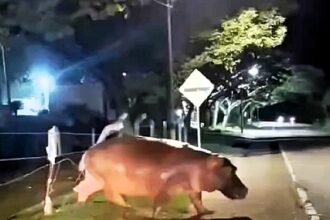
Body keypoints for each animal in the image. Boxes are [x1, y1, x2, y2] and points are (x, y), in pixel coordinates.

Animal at [73, 135, 248, 217]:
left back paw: (82, 205)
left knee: (82, 188)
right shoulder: (167, 188)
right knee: (110, 195)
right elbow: (159, 203)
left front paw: (207, 212)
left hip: (96, 180)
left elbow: (198, 201)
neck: (204, 164)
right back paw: (129, 207)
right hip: (106, 181)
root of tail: (88, 151)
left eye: (236, 168)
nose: (246, 190)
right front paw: (154, 216)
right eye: (229, 170)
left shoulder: (193, 188)